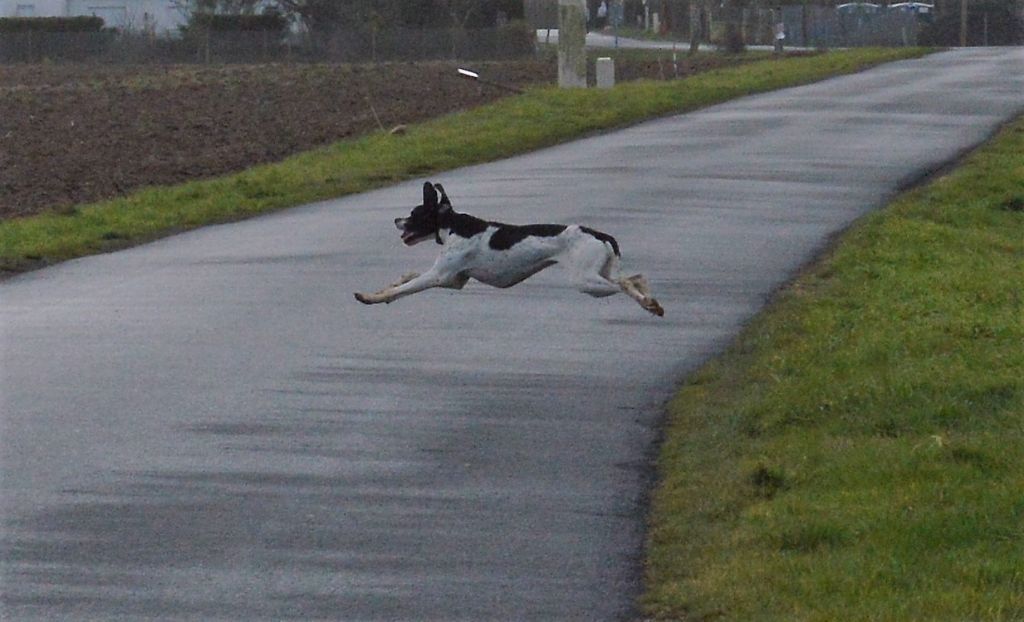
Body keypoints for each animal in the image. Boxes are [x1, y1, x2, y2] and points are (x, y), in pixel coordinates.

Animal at [356, 180, 667, 315]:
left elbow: (404, 289)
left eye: (414, 213)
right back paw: (651, 302)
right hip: (599, 272)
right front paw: (382, 289)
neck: (453, 224)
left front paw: (372, 297)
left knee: (624, 284)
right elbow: (405, 277)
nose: (396, 220)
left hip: (585, 281)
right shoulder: (453, 280)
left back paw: (648, 303)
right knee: (636, 277)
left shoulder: (439, 277)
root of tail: (600, 234)